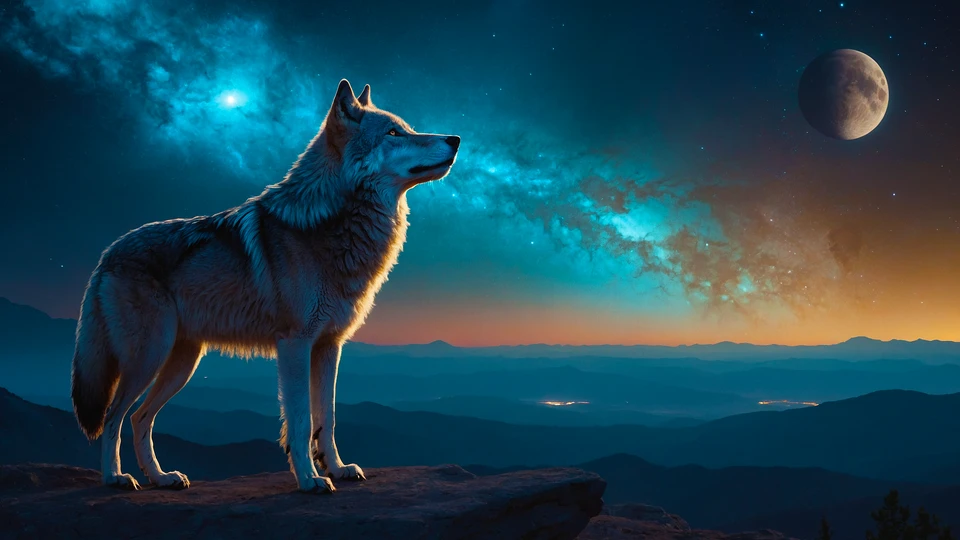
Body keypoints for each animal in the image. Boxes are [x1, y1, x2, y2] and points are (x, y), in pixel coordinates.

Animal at [70, 79, 460, 493]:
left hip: (183, 362)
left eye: (408, 128)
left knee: (139, 417)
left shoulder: (329, 347)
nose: (455, 138)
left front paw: (336, 469)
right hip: (149, 356)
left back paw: (161, 477)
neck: (328, 226)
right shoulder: (294, 344)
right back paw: (115, 477)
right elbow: (301, 421)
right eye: (393, 133)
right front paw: (310, 479)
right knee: (113, 417)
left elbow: (328, 418)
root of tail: (107, 254)